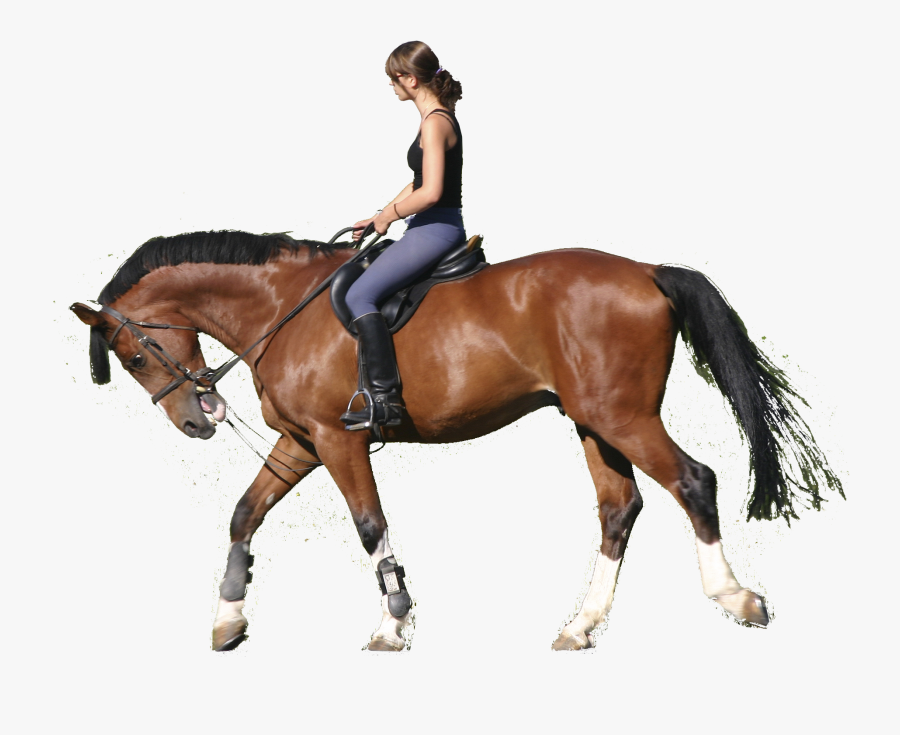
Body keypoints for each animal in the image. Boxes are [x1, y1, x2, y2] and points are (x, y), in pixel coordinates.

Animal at [70, 229, 842, 651]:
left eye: (134, 356)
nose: (196, 420)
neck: (281, 307)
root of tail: (647, 271)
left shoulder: (337, 440)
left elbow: (370, 525)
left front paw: (393, 624)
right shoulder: (301, 441)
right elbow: (243, 513)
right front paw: (229, 617)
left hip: (622, 416)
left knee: (692, 481)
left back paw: (736, 598)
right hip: (594, 421)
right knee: (619, 508)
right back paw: (581, 624)